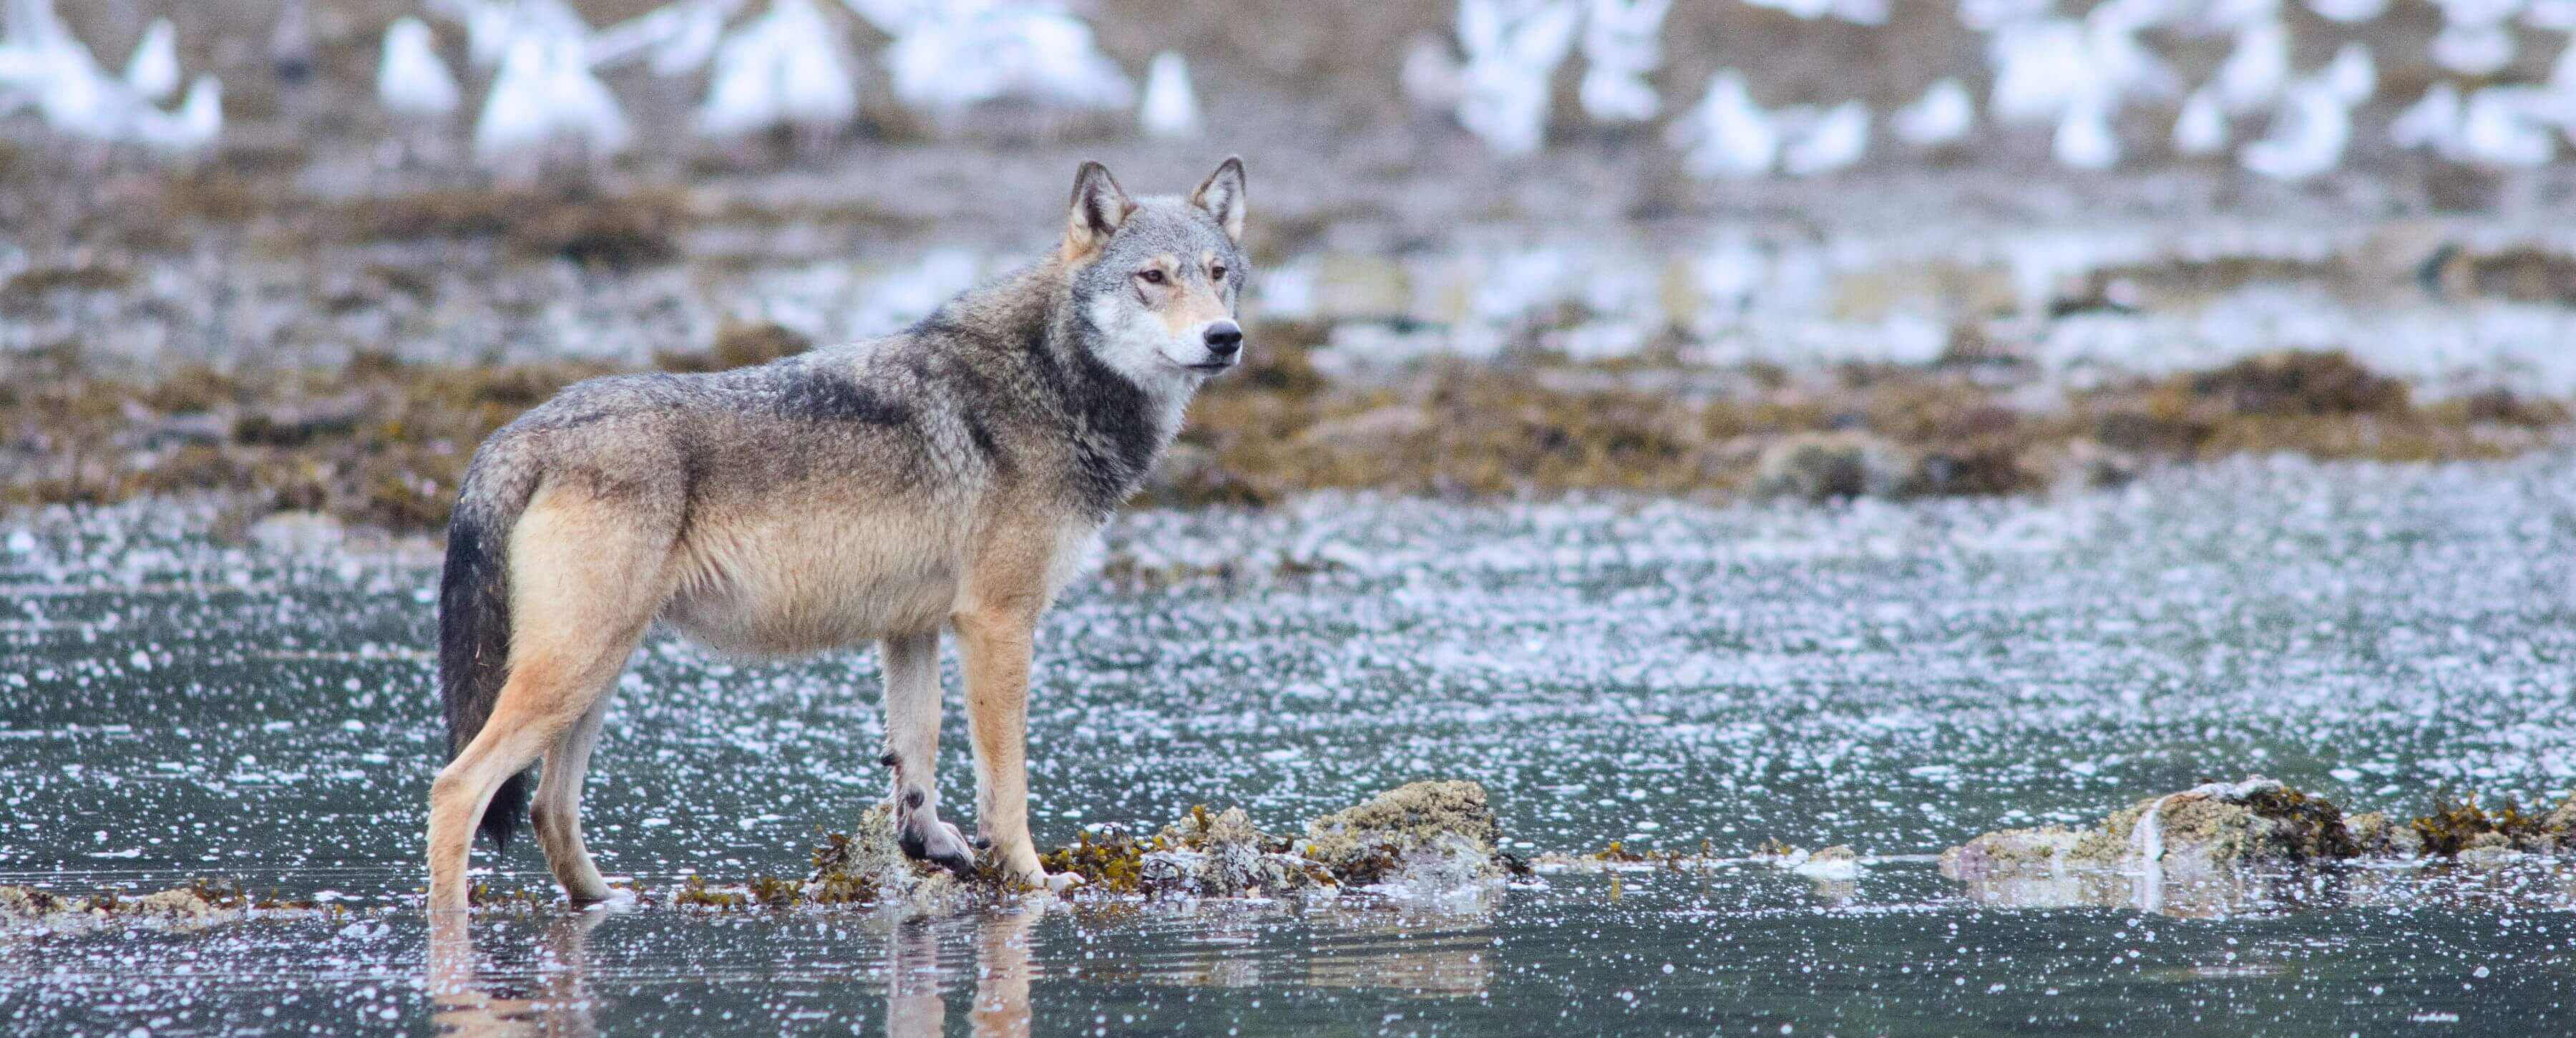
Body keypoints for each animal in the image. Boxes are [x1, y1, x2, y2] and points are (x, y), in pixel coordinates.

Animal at [427, 158, 1251, 910]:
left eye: (1219, 274)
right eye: (1152, 277)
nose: (1225, 337)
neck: (1051, 377)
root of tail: (517, 432)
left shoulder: (913, 628)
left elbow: (917, 754)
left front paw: (928, 844)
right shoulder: (998, 623)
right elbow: (1006, 780)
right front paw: (1032, 879)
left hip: (595, 676)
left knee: (548, 807)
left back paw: (608, 901)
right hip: (574, 672)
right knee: (456, 788)